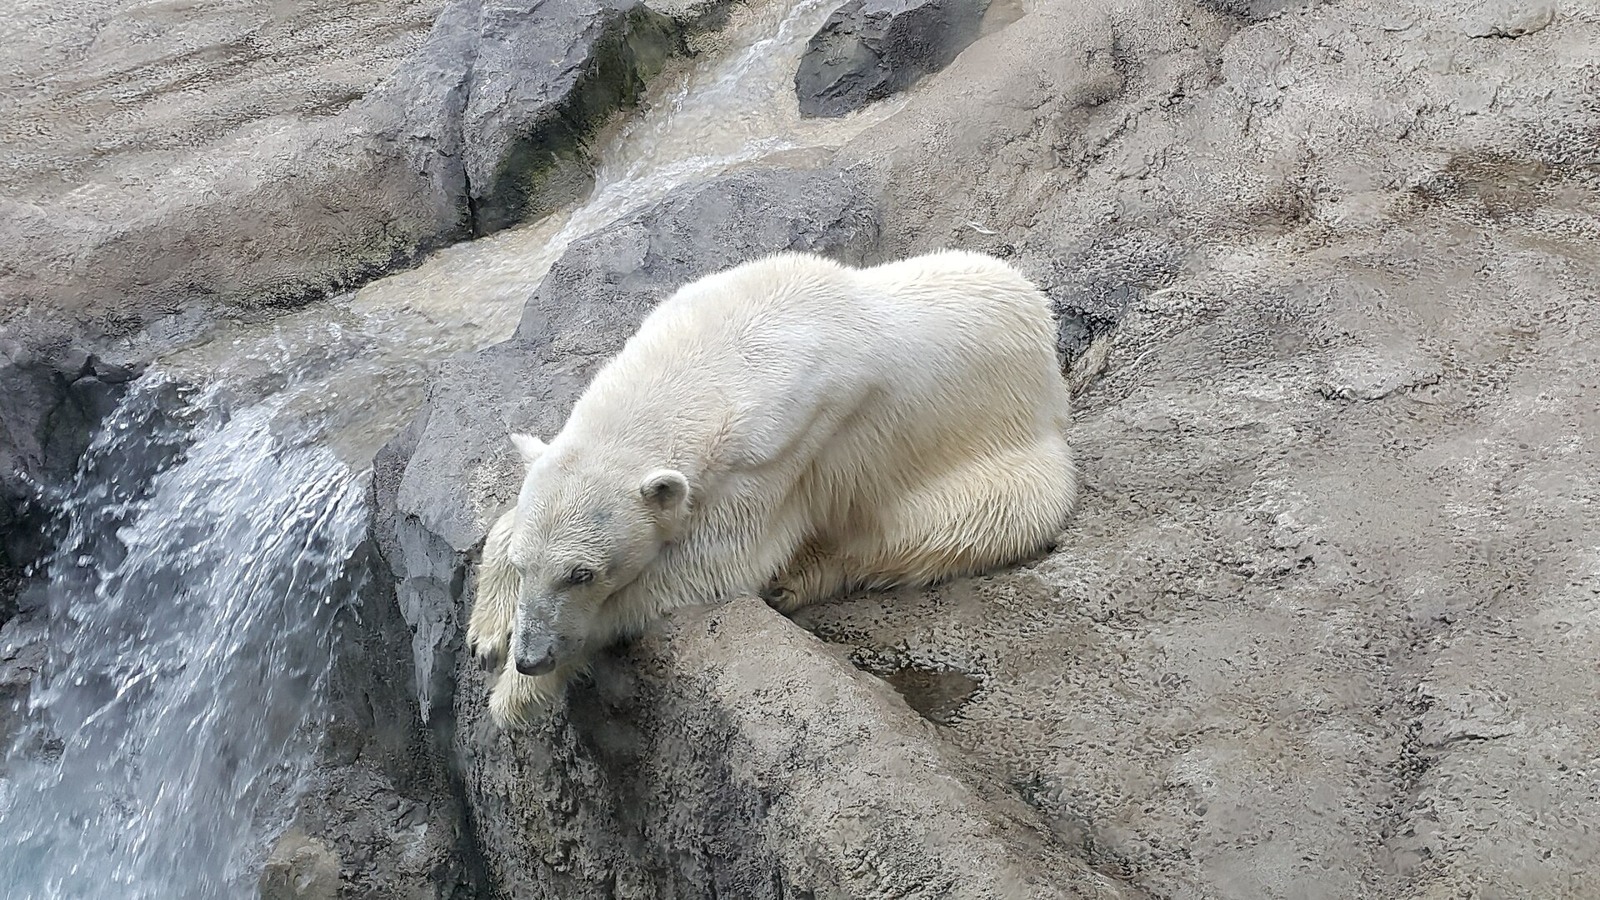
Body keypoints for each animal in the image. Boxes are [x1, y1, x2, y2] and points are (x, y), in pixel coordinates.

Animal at [467, 249, 1078, 726]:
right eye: (525, 566)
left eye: (582, 574)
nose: (532, 656)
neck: (716, 352)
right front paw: (486, 631)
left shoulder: (783, 447)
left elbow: (718, 561)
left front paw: (515, 694)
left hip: (1004, 457)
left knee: (951, 528)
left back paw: (799, 579)